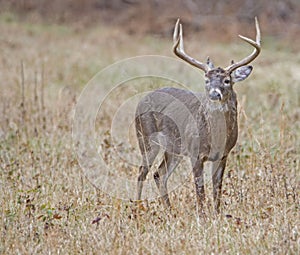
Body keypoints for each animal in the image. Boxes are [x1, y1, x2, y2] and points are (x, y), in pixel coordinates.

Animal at [136, 17, 260, 212]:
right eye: (206, 80)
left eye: (227, 80)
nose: (214, 94)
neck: (216, 137)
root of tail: (141, 100)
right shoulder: (196, 153)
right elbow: (200, 191)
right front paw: (202, 216)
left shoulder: (224, 154)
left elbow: (217, 190)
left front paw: (217, 215)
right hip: (146, 138)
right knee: (142, 172)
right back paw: (138, 208)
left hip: (174, 148)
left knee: (159, 174)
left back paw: (170, 211)